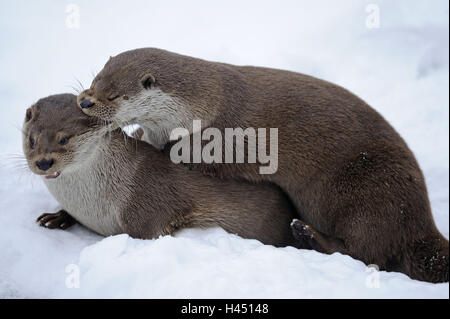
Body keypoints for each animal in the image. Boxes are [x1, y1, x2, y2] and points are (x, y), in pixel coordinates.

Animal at [75, 47, 448, 282]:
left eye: (113, 95)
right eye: (94, 80)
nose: (84, 101)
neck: (202, 108)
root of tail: (421, 220)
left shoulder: (220, 141)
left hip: (369, 189)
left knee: (366, 251)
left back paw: (307, 233)